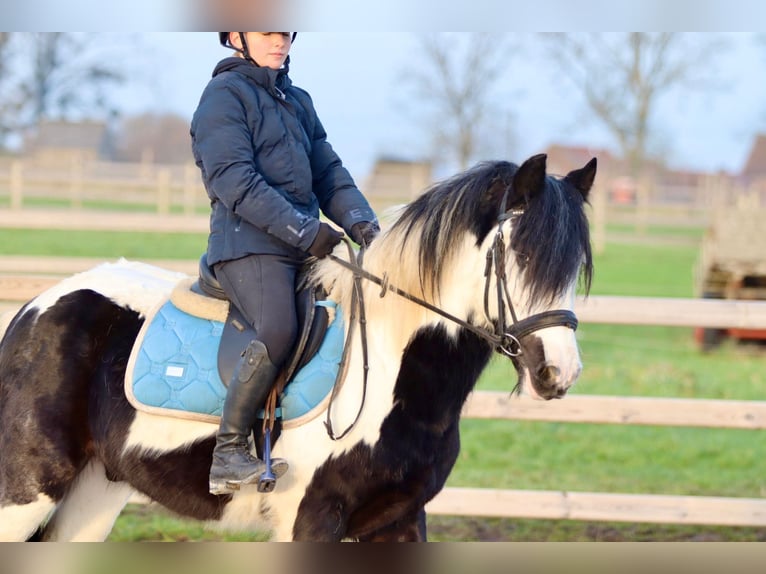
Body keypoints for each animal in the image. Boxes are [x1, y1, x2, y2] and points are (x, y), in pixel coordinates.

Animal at [0, 155, 596, 544]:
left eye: (573, 267)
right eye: (520, 254)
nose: (558, 373)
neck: (391, 372)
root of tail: (36, 307)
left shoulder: (401, 520)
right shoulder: (312, 520)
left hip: (93, 496)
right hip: (26, 494)